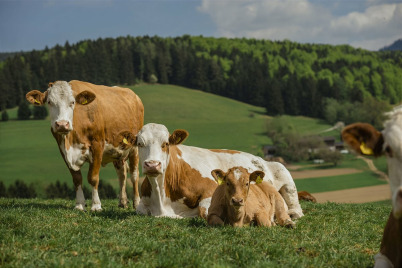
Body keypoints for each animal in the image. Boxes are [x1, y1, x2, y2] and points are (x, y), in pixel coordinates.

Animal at [25, 80, 144, 210]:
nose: (62, 125)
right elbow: (77, 179)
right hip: (117, 151)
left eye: (72, 102)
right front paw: (80, 205)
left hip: (134, 147)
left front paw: (96, 205)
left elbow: (93, 178)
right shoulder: (63, 150)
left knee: (134, 175)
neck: (70, 141)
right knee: (122, 173)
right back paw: (122, 201)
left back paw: (137, 202)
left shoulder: (97, 145)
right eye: (50, 102)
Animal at [121, 123, 304, 220]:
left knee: (295, 205)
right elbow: (140, 209)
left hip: (283, 172)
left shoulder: (211, 190)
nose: (152, 164)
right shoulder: (143, 205)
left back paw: (292, 213)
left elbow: (204, 210)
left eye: (165, 144)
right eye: (140, 144)